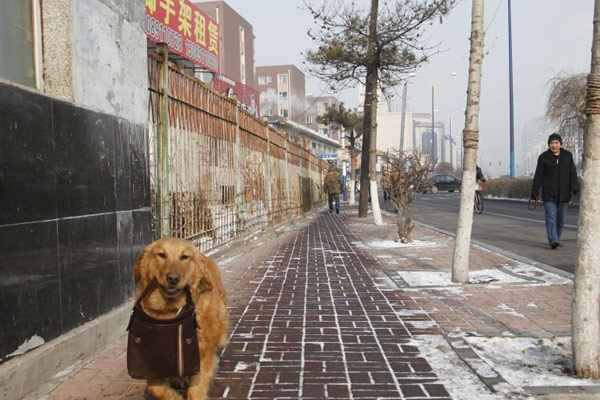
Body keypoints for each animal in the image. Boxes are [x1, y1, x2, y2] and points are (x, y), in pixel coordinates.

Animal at [133, 236, 227, 398]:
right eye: (161, 255)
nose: (173, 278)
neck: (170, 310)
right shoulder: (153, 358)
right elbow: (156, 388)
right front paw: (174, 396)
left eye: (184, 257)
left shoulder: (203, 352)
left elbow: (197, 389)